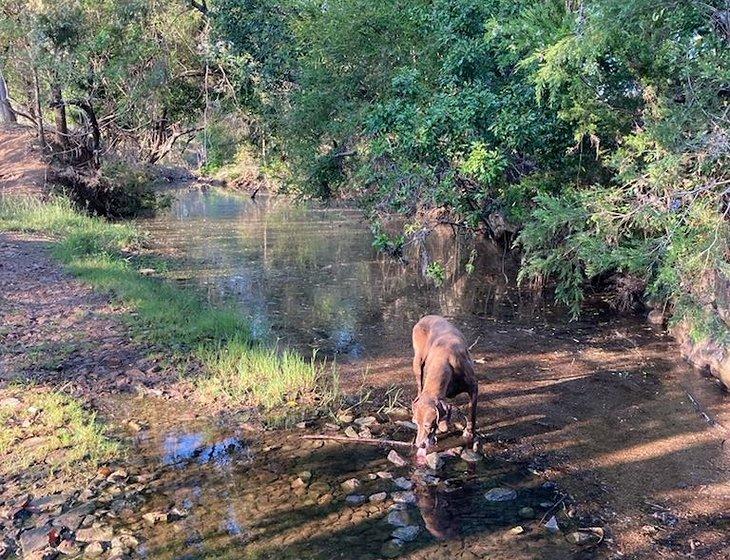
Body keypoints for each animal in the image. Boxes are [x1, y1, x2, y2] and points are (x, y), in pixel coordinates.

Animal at [410, 316, 478, 456]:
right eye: (416, 423)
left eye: (427, 425)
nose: (419, 445)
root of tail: (425, 317)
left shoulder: (474, 387)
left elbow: (472, 412)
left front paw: (469, 433)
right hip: (418, 361)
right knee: (419, 384)